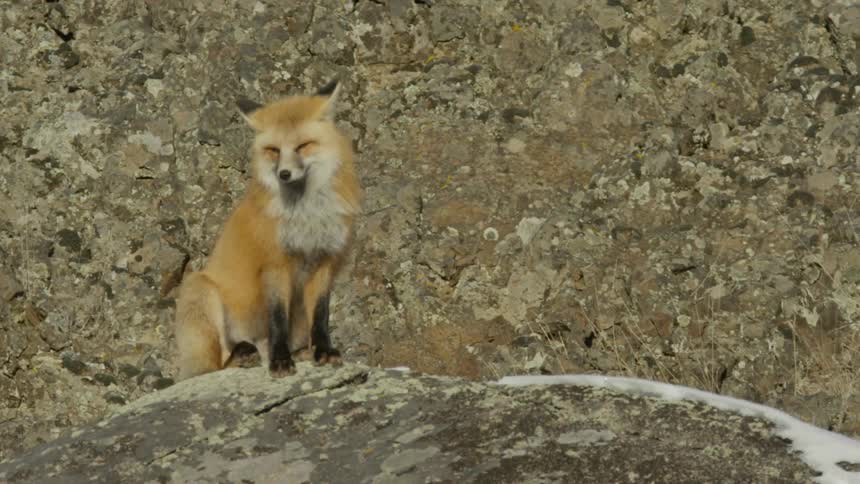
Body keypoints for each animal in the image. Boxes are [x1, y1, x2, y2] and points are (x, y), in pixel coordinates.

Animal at [173, 80, 362, 380]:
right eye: (274, 150)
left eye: (303, 146)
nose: (284, 174)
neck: (306, 216)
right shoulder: (275, 264)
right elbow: (277, 320)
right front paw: (281, 361)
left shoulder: (324, 262)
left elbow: (321, 316)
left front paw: (324, 351)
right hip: (201, 290)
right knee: (215, 366)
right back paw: (243, 355)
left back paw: (301, 351)